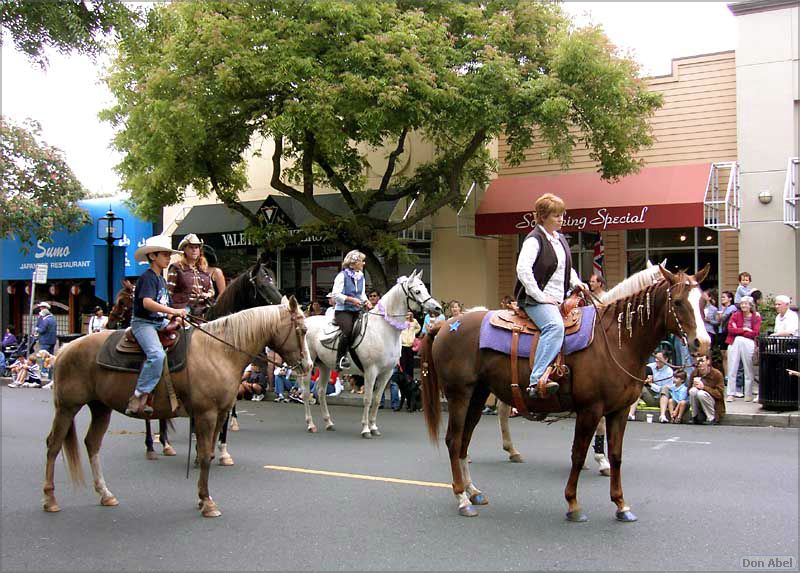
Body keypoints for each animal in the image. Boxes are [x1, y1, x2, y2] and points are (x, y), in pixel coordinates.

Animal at [40, 302, 310, 516]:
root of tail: (64, 349)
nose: (307, 365)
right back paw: (50, 498)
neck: (219, 352)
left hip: (100, 408)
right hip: (67, 407)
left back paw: (105, 494)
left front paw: (204, 497)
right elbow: (204, 455)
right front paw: (207, 503)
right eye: (303, 330)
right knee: (53, 445)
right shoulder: (206, 414)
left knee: (92, 444)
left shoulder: (220, 413)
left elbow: (210, 453)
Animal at [145, 256, 282, 462]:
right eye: (262, 284)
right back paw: (154, 445)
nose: (285, 305)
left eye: (274, 281)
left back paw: (165, 443)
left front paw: (223, 450)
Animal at [302, 270, 444, 436]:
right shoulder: (371, 371)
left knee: (321, 391)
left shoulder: (387, 373)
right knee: (306, 393)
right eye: (417, 291)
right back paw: (310, 424)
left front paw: (374, 427)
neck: (384, 329)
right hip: (309, 366)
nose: (437, 308)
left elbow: (376, 400)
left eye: (425, 288)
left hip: (324, 366)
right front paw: (365, 429)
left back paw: (329, 423)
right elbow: (368, 399)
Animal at [422, 264, 708, 520]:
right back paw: (461, 497)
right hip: (459, 395)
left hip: (478, 395)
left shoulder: (619, 410)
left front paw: (621, 504)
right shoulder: (591, 409)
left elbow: (616, 456)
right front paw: (573, 503)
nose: (703, 343)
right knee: (454, 440)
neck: (616, 342)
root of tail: (447, 324)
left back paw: (474, 490)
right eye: (678, 302)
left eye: (704, 301)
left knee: (466, 439)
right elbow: (578, 455)